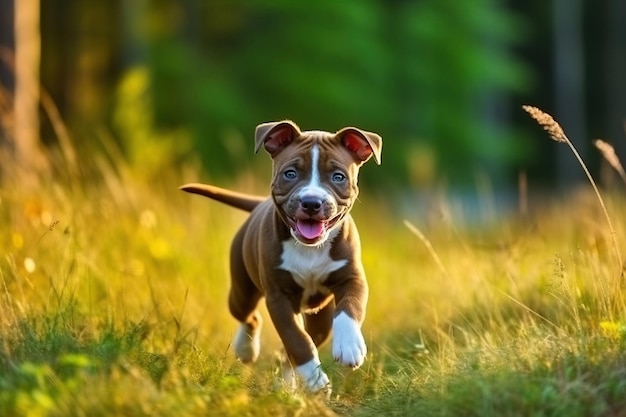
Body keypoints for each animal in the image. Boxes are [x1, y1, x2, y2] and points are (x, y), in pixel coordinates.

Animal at [178, 119, 378, 390]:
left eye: (338, 177)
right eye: (290, 173)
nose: (311, 202)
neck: (309, 248)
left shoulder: (352, 278)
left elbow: (350, 307)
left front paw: (349, 345)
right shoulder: (278, 297)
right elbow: (296, 339)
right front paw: (314, 378)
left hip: (320, 316)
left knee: (299, 343)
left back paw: (287, 381)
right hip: (242, 289)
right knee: (250, 317)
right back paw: (247, 349)